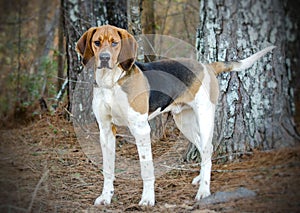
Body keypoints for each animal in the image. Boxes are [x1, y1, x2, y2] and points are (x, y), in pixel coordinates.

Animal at [76, 25, 276, 206]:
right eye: (97, 42)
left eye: (115, 43)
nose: (104, 58)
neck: (110, 83)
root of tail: (206, 66)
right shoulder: (105, 130)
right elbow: (107, 168)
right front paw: (106, 197)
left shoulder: (141, 130)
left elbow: (146, 168)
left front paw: (147, 199)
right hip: (184, 122)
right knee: (206, 149)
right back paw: (200, 179)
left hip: (204, 118)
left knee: (206, 150)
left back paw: (204, 190)